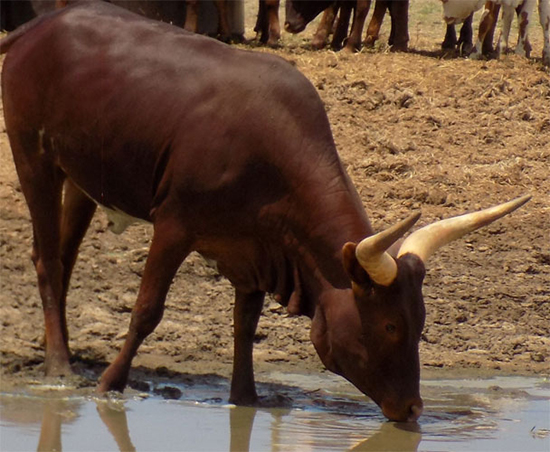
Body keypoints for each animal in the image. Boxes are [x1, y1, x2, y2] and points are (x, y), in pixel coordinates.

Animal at [2, 0, 532, 424]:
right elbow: (147, 311)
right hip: (33, 157)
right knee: (46, 259)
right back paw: (60, 365)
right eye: (389, 326)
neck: (267, 149)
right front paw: (110, 383)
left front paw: (246, 396)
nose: (412, 409)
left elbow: (245, 323)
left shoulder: (253, 249)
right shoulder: (174, 226)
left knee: (65, 258)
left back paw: (60, 348)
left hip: (81, 179)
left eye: (419, 323)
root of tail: (41, 26)